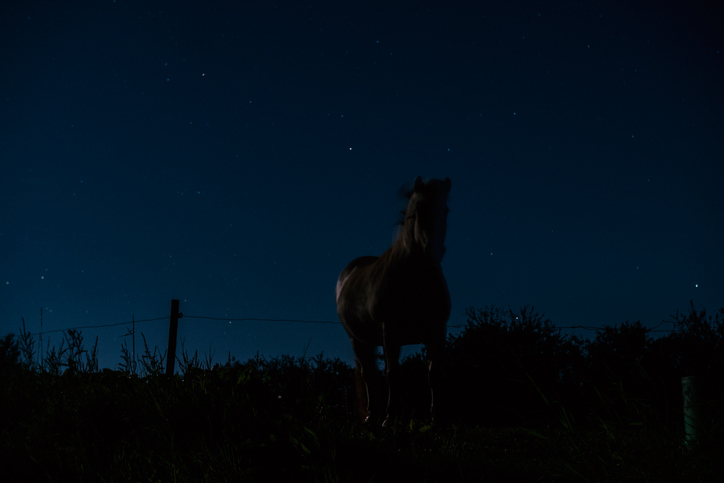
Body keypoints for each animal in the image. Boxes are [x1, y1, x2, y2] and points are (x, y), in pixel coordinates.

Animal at [336, 176, 450, 426]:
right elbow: (392, 375)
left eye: (445, 209)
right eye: (417, 209)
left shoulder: (437, 331)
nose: (432, 251)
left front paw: (436, 418)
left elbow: (434, 373)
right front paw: (390, 418)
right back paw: (372, 415)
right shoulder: (391, 331)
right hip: (358, 340)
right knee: (369, 375)